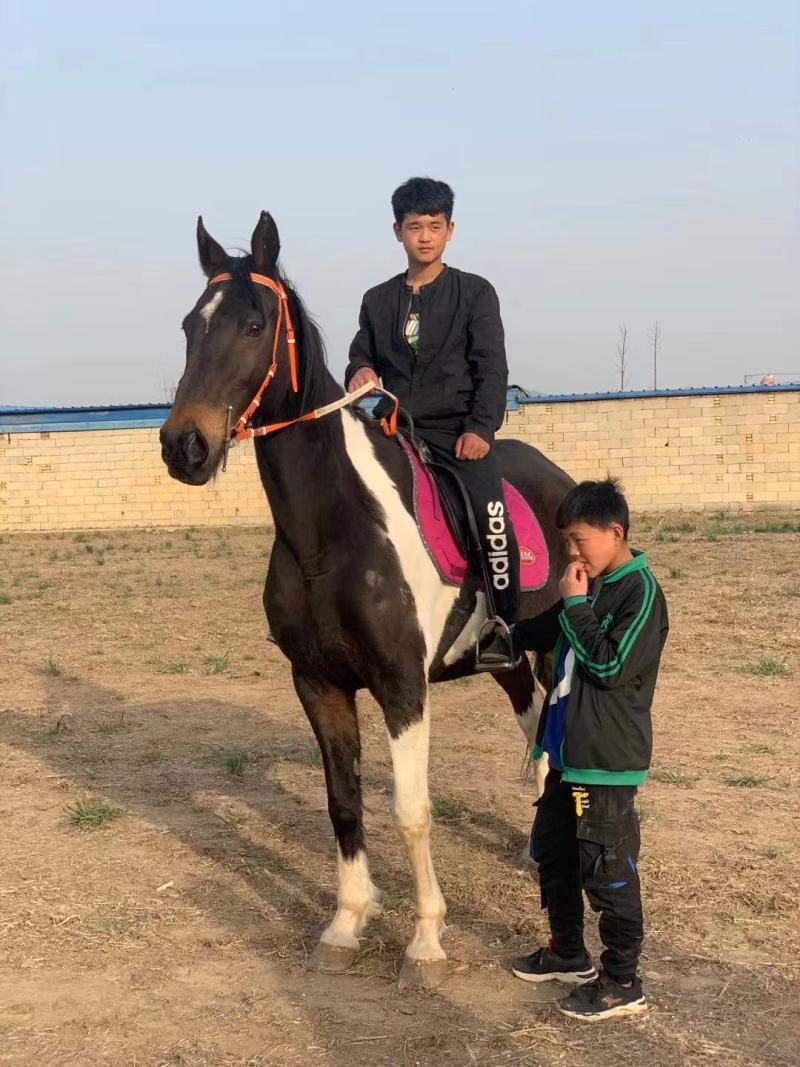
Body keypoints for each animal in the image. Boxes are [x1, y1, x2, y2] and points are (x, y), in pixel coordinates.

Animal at [160, 211, 574, 988]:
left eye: (255, 323)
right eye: (189, 325)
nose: (183, 446)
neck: (331, 534)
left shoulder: (402, 685)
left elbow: (410, 810)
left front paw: (427, 940)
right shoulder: (318, 682)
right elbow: (343, 801)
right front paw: (347, 922)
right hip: (502, 657)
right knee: (534, 725)